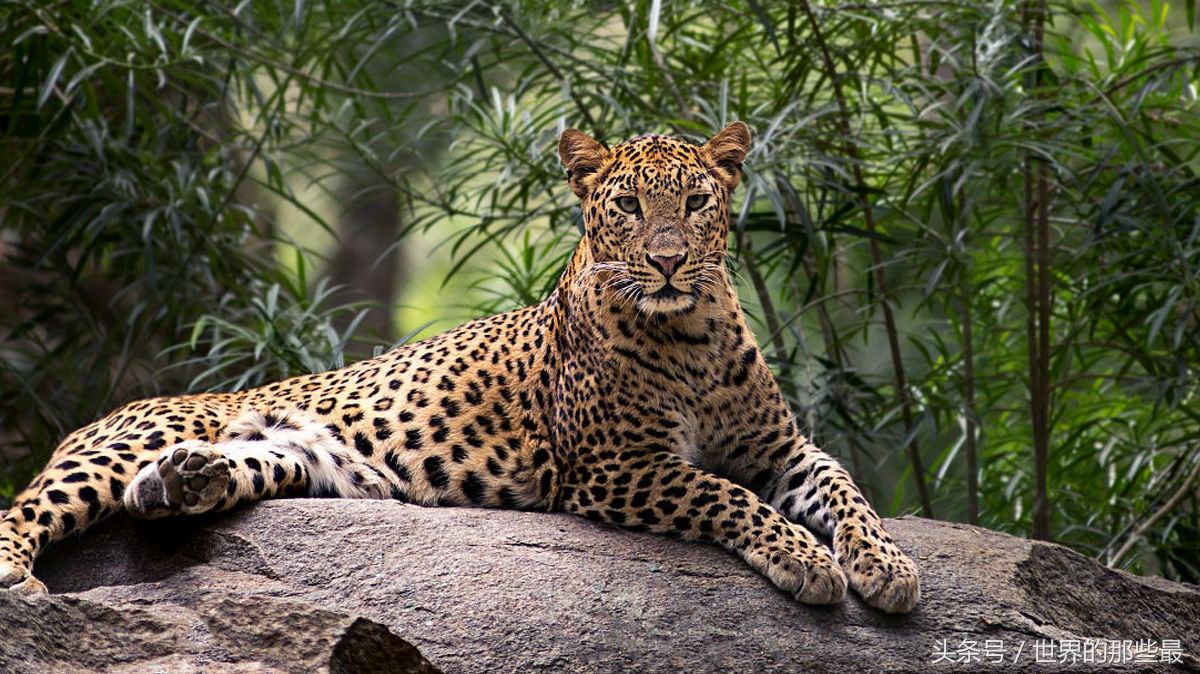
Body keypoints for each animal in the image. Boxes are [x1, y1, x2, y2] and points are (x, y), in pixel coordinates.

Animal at [0, 123, 916, 611]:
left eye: (695, 202)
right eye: (627, 205)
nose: (665, 262)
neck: (689, 330)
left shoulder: (782, 451)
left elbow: (846, 489)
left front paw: (888, 567)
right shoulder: (613, 468)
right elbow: (723, 495)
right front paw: (806, 561)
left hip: (290, 462)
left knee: (162, 493)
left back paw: (183, 483)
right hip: (136, 434)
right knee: (27, 507)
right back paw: (21, 575)